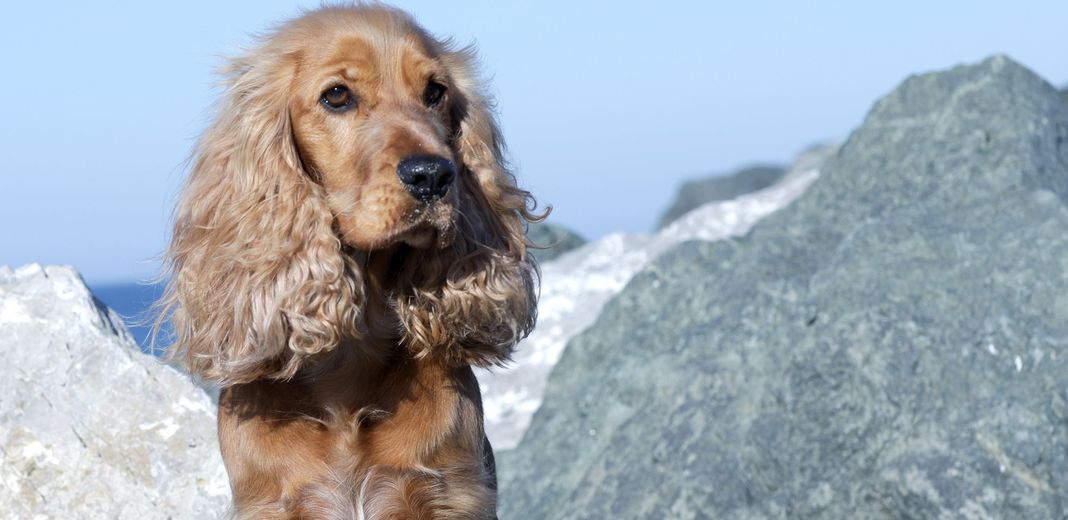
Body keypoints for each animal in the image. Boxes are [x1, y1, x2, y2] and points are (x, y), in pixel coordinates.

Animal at [158, 4, 538, 516]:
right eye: (337, 95)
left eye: (435, 92)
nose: (434, 175)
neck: (348, 360)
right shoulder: (271, 501)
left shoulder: (452, 492)